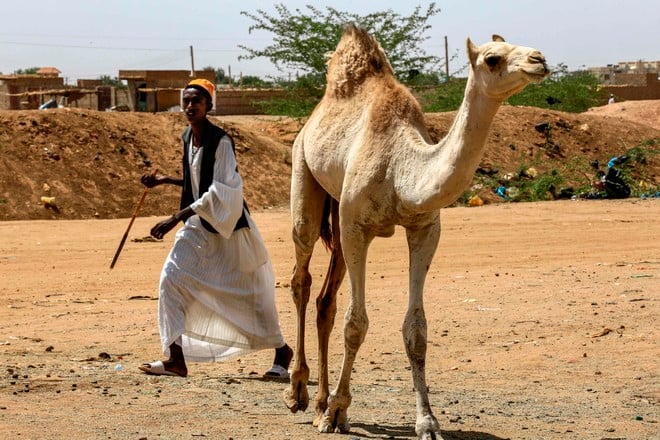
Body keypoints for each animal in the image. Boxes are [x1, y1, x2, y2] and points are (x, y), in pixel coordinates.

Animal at [282, 24, 548, 440]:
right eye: (493, 58)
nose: (539, 59)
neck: (401, 169)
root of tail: (311, 120)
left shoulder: (424, 229)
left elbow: (416, 329)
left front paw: (428, 422)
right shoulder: (356, 226)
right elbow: (356, 324)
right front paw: (338, 411)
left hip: (338, 215)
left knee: (326, 301)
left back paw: (320, 401)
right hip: (304, 178)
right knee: (301, 277)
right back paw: (299, 394)